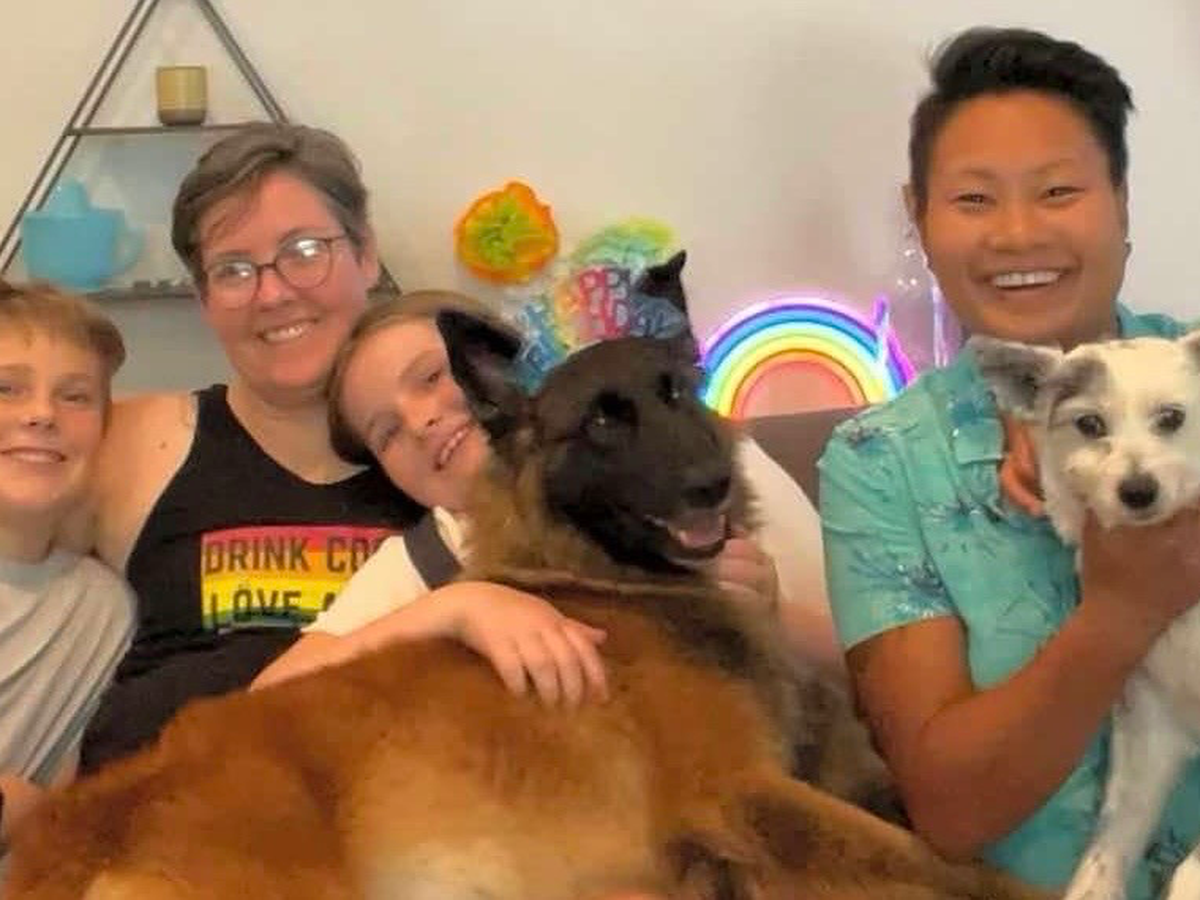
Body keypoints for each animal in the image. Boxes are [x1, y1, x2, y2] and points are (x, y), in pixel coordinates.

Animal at [3, 272, 1047, 900]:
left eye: (675, 392)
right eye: (603, 423)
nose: (712, 483)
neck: (618, 585)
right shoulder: (744, 795)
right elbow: (949, 869)